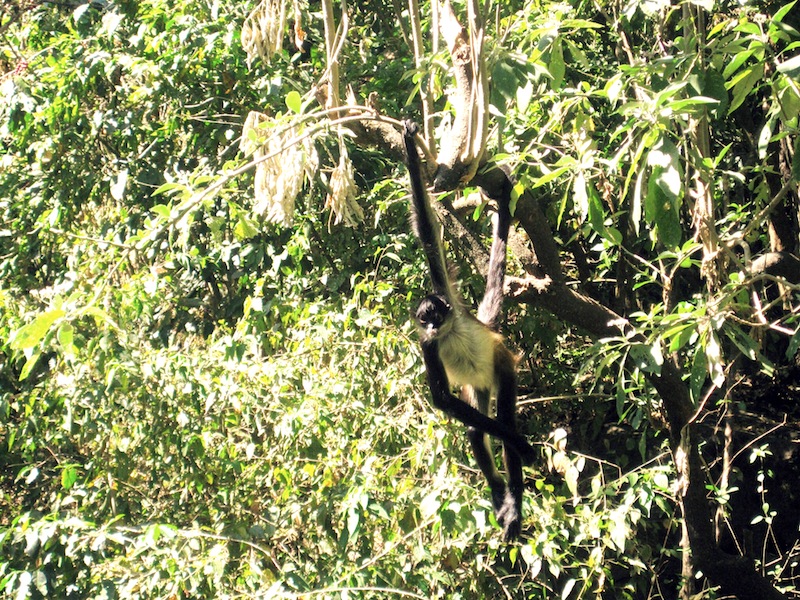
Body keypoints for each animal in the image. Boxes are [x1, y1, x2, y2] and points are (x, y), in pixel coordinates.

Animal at [404, 119, 536, 540]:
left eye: (435, 314)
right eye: (424, 320)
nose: (432, 326)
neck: (447, 332)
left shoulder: (447, 298)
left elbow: (427, 230)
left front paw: (408, 142)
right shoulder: (426, 346)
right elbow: (444, 400)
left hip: (502, 368)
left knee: (503, 418)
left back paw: (514, 498)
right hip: (478, 388)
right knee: (477, 433)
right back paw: (499, 496)